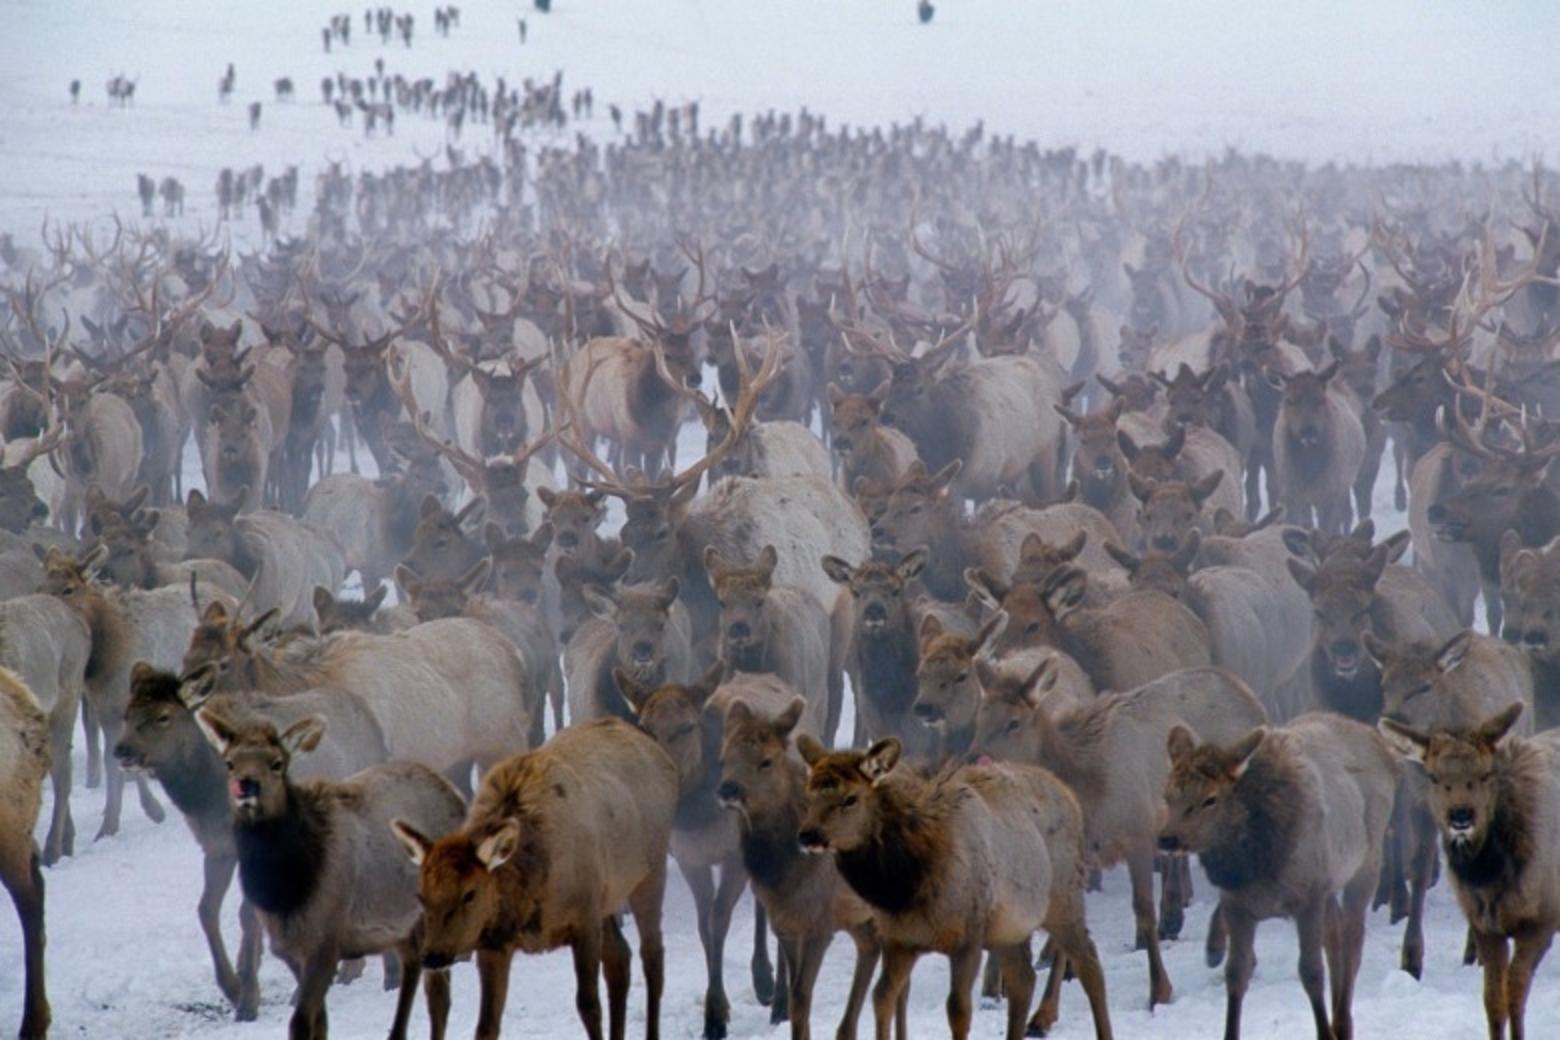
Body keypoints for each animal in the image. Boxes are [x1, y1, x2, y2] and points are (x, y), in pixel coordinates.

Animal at [196, 711, 461, 1040]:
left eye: (277, 762)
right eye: (230, 763)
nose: (246, 785)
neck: (285, 895)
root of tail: (455, 794)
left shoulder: (324, 943)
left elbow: (300, 1023)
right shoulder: (288, 949)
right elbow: (320, 1022)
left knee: (438, 992)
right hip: (401, 923)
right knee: (414, 967)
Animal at [393, 720, 673, 1040]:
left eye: (470, 893)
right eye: (421, 896)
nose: (432, 956)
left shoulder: (584, 918)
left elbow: (589, 1005)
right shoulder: (494, 943)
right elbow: (486, 1026)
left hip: (651, 871)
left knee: (652, 955)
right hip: (609, 897)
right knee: (620, 958)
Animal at [798, 735, 1116, 1040]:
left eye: (850, 798)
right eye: (809, 793)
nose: (807, 835)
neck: (909, 886)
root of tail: (1070, 795)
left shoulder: (968, 937)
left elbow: (958, 1010)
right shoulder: (898, 939)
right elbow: (882, 996)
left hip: (1065, 900)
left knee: (1090, 965)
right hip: (1011, 929)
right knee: (1024, 980)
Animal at [973, 664, 1266, 1010]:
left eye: (1013, 722)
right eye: (980, 715)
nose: (973, 759)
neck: (1087, 792)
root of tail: (1250, 696)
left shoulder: (1138, 833)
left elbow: (1143, 912)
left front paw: (1159, 990)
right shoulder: (1082, 858)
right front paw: (1046, 1005)